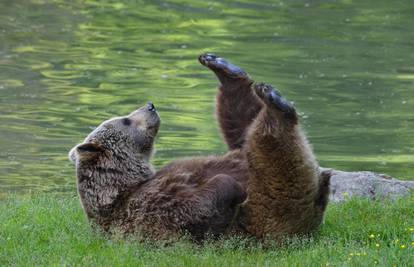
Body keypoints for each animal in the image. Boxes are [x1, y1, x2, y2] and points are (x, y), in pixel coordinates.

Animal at [69, 53, 332, 242]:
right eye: (125, 120)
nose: (151, 105)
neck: (126, 185)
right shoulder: (147, 208)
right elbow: (197, 207)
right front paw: (232, 185)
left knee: (242, 127)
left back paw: (226, 69)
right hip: (271, 206)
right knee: (271, 148)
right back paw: (276, 103)